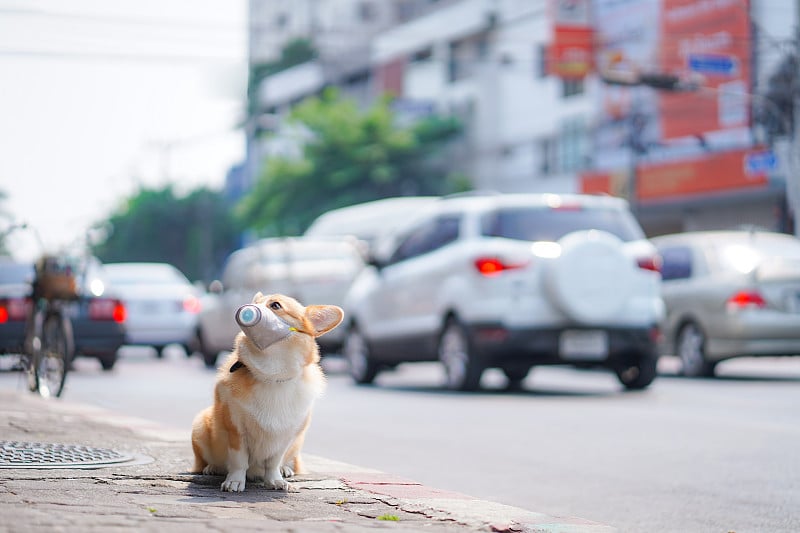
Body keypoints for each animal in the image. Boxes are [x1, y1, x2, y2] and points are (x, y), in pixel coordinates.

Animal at [195, 290, 346, 490]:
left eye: (275, 305)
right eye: (255, 302)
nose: (245, 308)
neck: (272, 375)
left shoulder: (286, 435)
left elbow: (274, 461)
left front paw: (275, 480)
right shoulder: (236, 430)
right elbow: (239, 460)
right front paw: (234, 481)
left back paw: (286, 469)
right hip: (201, 424)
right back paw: (213, 467)